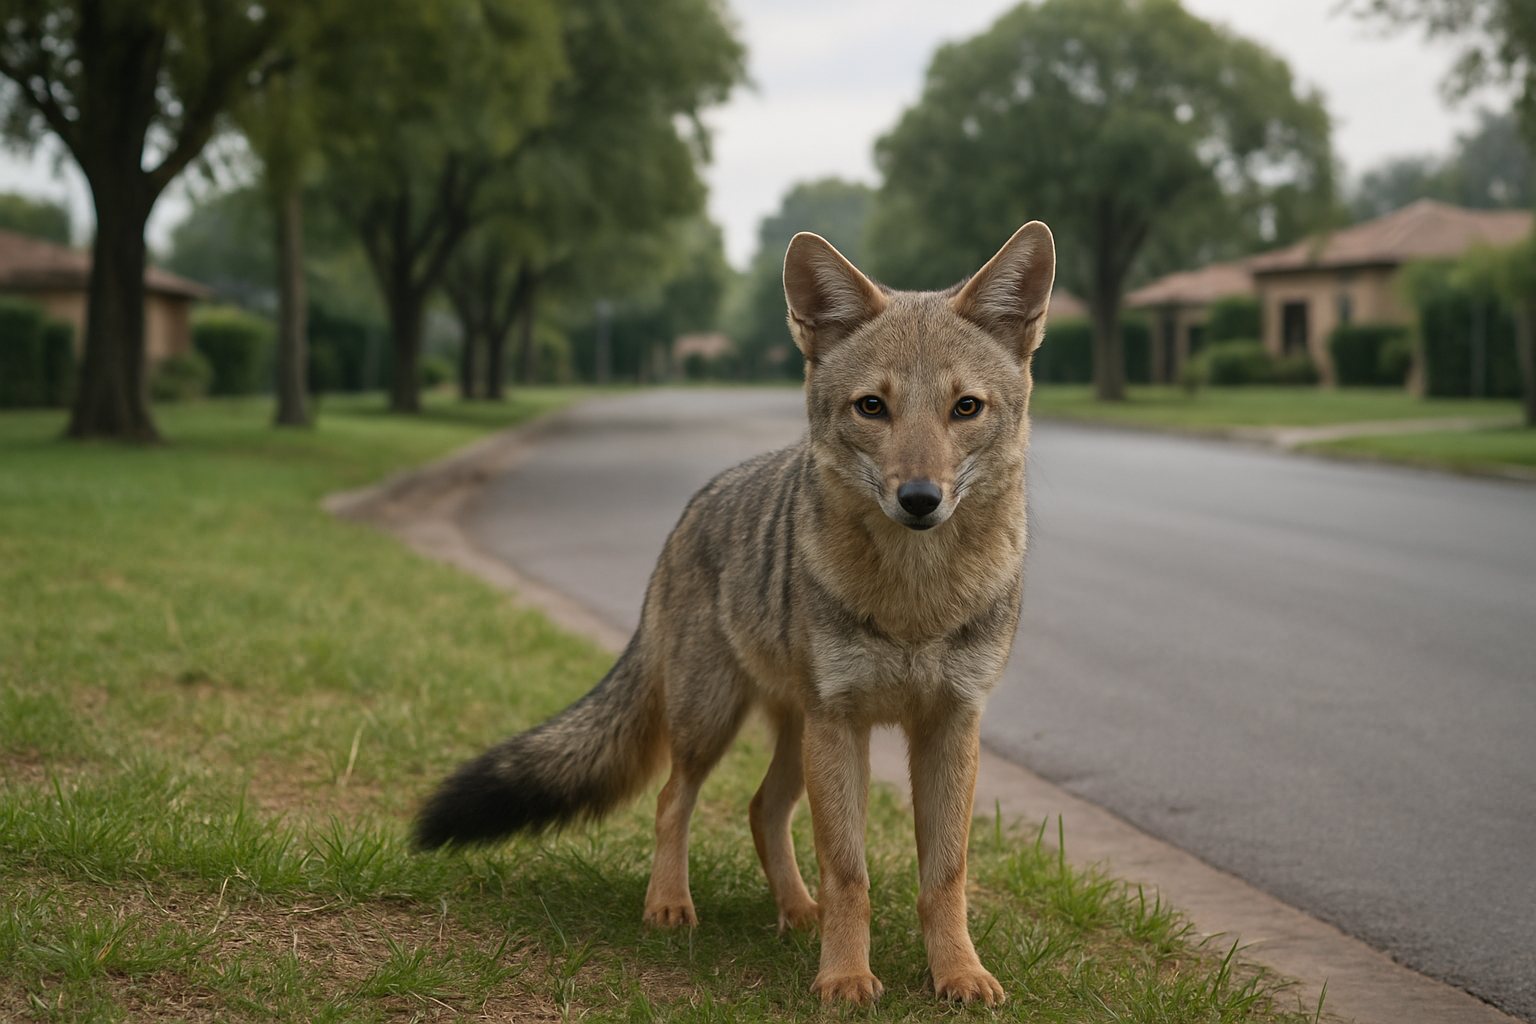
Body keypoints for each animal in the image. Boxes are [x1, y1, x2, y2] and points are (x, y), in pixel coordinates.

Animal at [414, 221, 1056, 1006]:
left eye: (965, 408)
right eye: (872, 407)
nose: (919, 499)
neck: (914, 603)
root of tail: (692, 508)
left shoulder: (951, 725)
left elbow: (944, 875)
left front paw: (958, 974)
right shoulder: (842, 723)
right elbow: (851, 875)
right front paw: (846, 978)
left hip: (793, 733)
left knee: (761, 808)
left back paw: (796, 912)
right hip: (715, 720)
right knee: (672, 799)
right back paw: (670, 905)